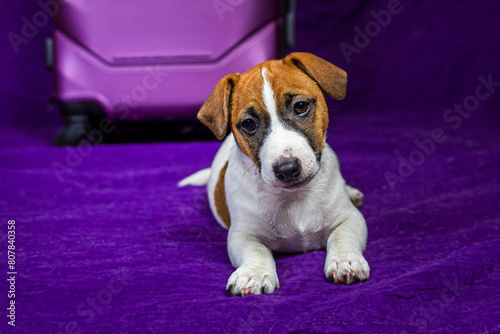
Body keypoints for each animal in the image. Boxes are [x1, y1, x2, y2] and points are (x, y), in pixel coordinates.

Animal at [182, 51, 370, 294]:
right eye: (249, 124)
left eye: (301, 107)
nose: (287, 169)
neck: (294, 198)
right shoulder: (242, 235)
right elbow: (257, 251)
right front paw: (253, 273)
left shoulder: (350, 218)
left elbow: (342, 236)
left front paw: (345, 260)